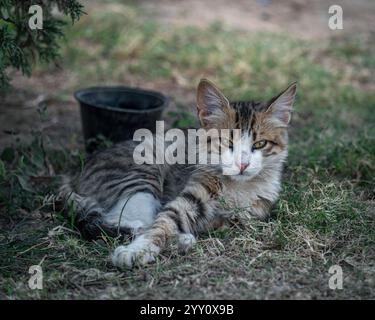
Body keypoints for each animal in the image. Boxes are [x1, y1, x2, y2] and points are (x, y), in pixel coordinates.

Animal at [60, 79, 298, 268]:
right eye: (226, 142)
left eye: (260, 144)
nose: (242, 164)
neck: (237, 188)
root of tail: (76, 174)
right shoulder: (194, 192)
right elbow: (165, 220)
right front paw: (137, 251)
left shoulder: (253, 212)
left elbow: (227, 221)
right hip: (142, 172)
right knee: (128, 219)